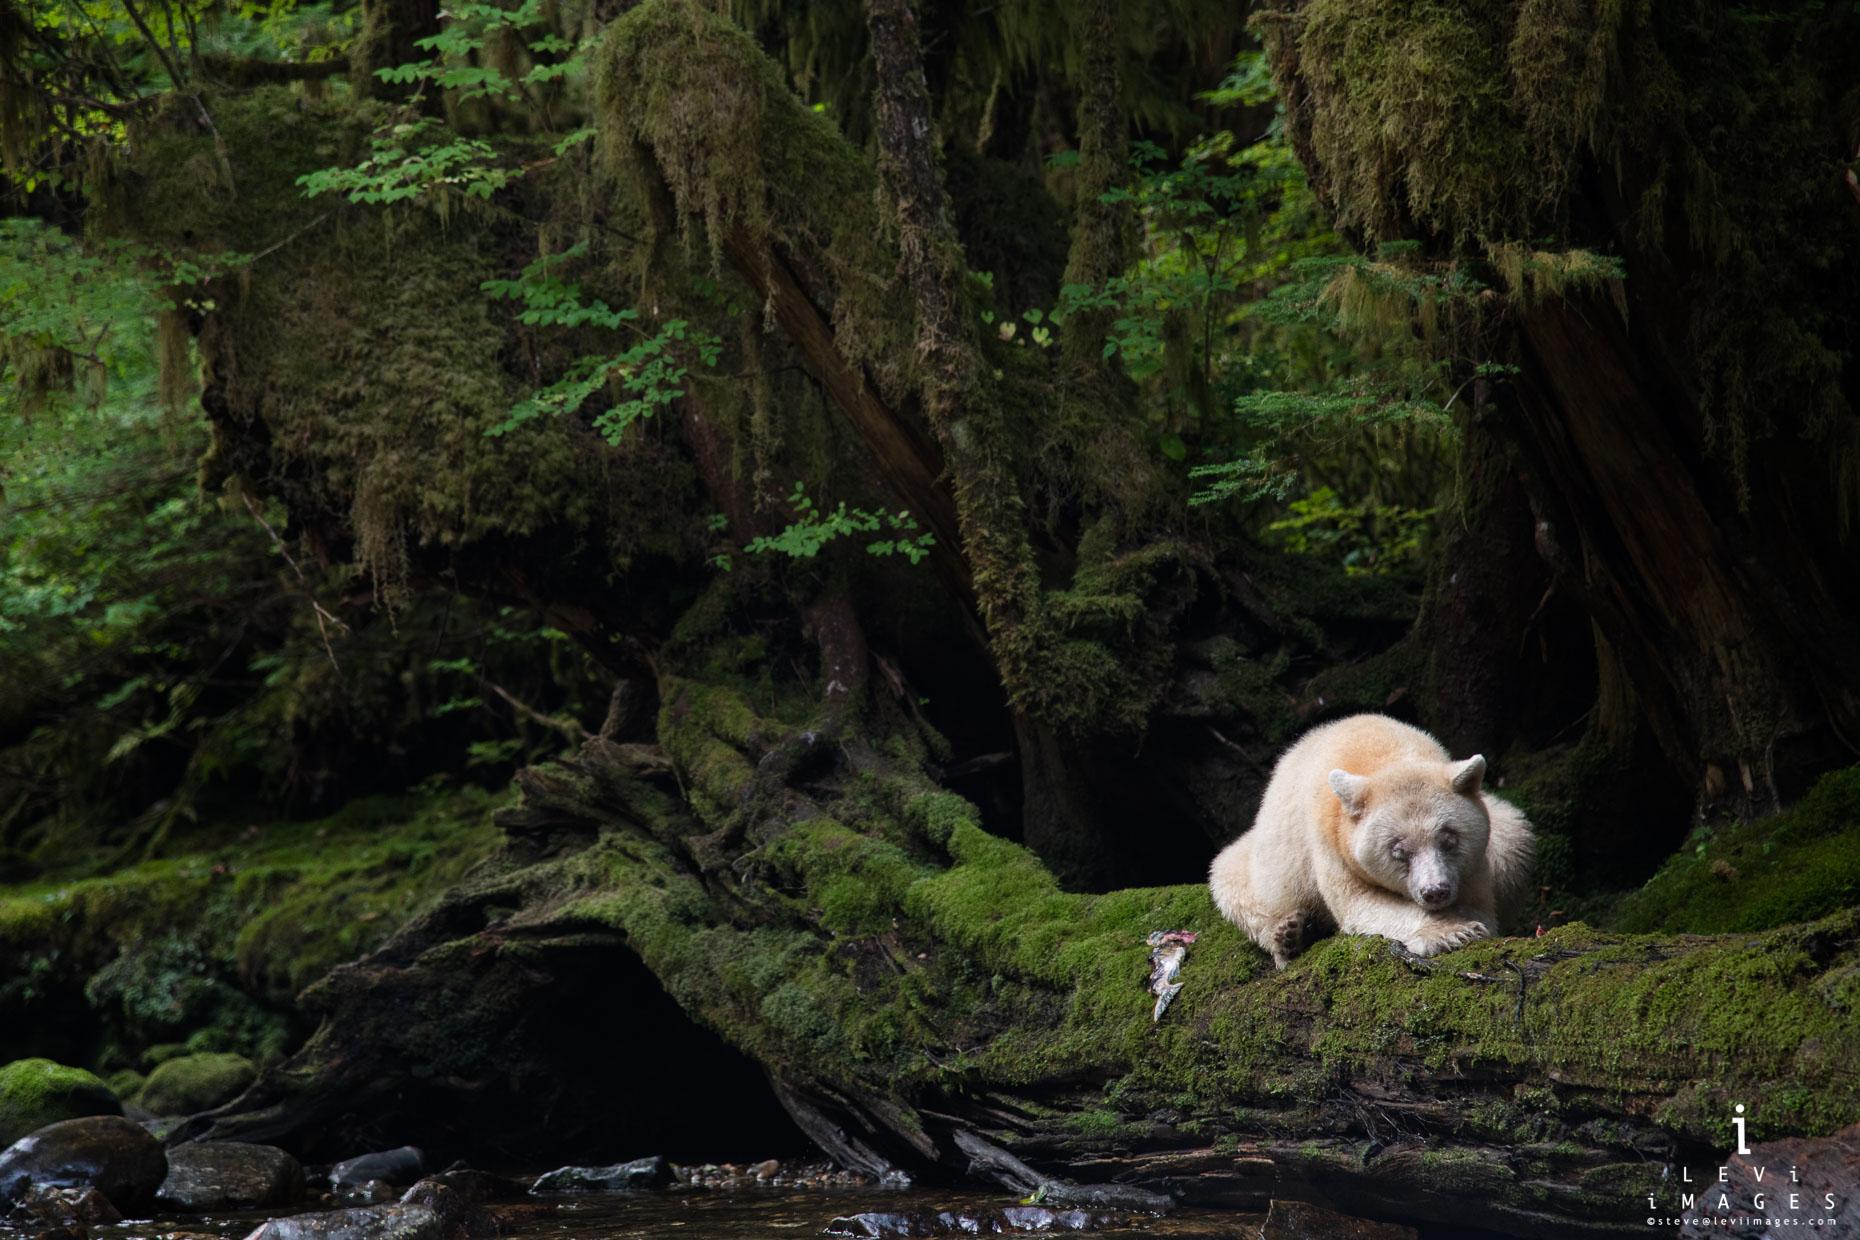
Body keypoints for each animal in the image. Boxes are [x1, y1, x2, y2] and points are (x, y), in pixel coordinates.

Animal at [1212, 713, 1532, 966]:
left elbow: (1482, 906)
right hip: (1264, 865)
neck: (1383, 754)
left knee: (1514, 841)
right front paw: (1449, 933)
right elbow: (1361, 902)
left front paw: (1467, 923)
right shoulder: (1329, 838)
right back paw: (1288, 937)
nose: (1435, 891)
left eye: (1448, 840)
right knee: (1236, 886)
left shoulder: (1471, 862)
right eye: (1399, 850)